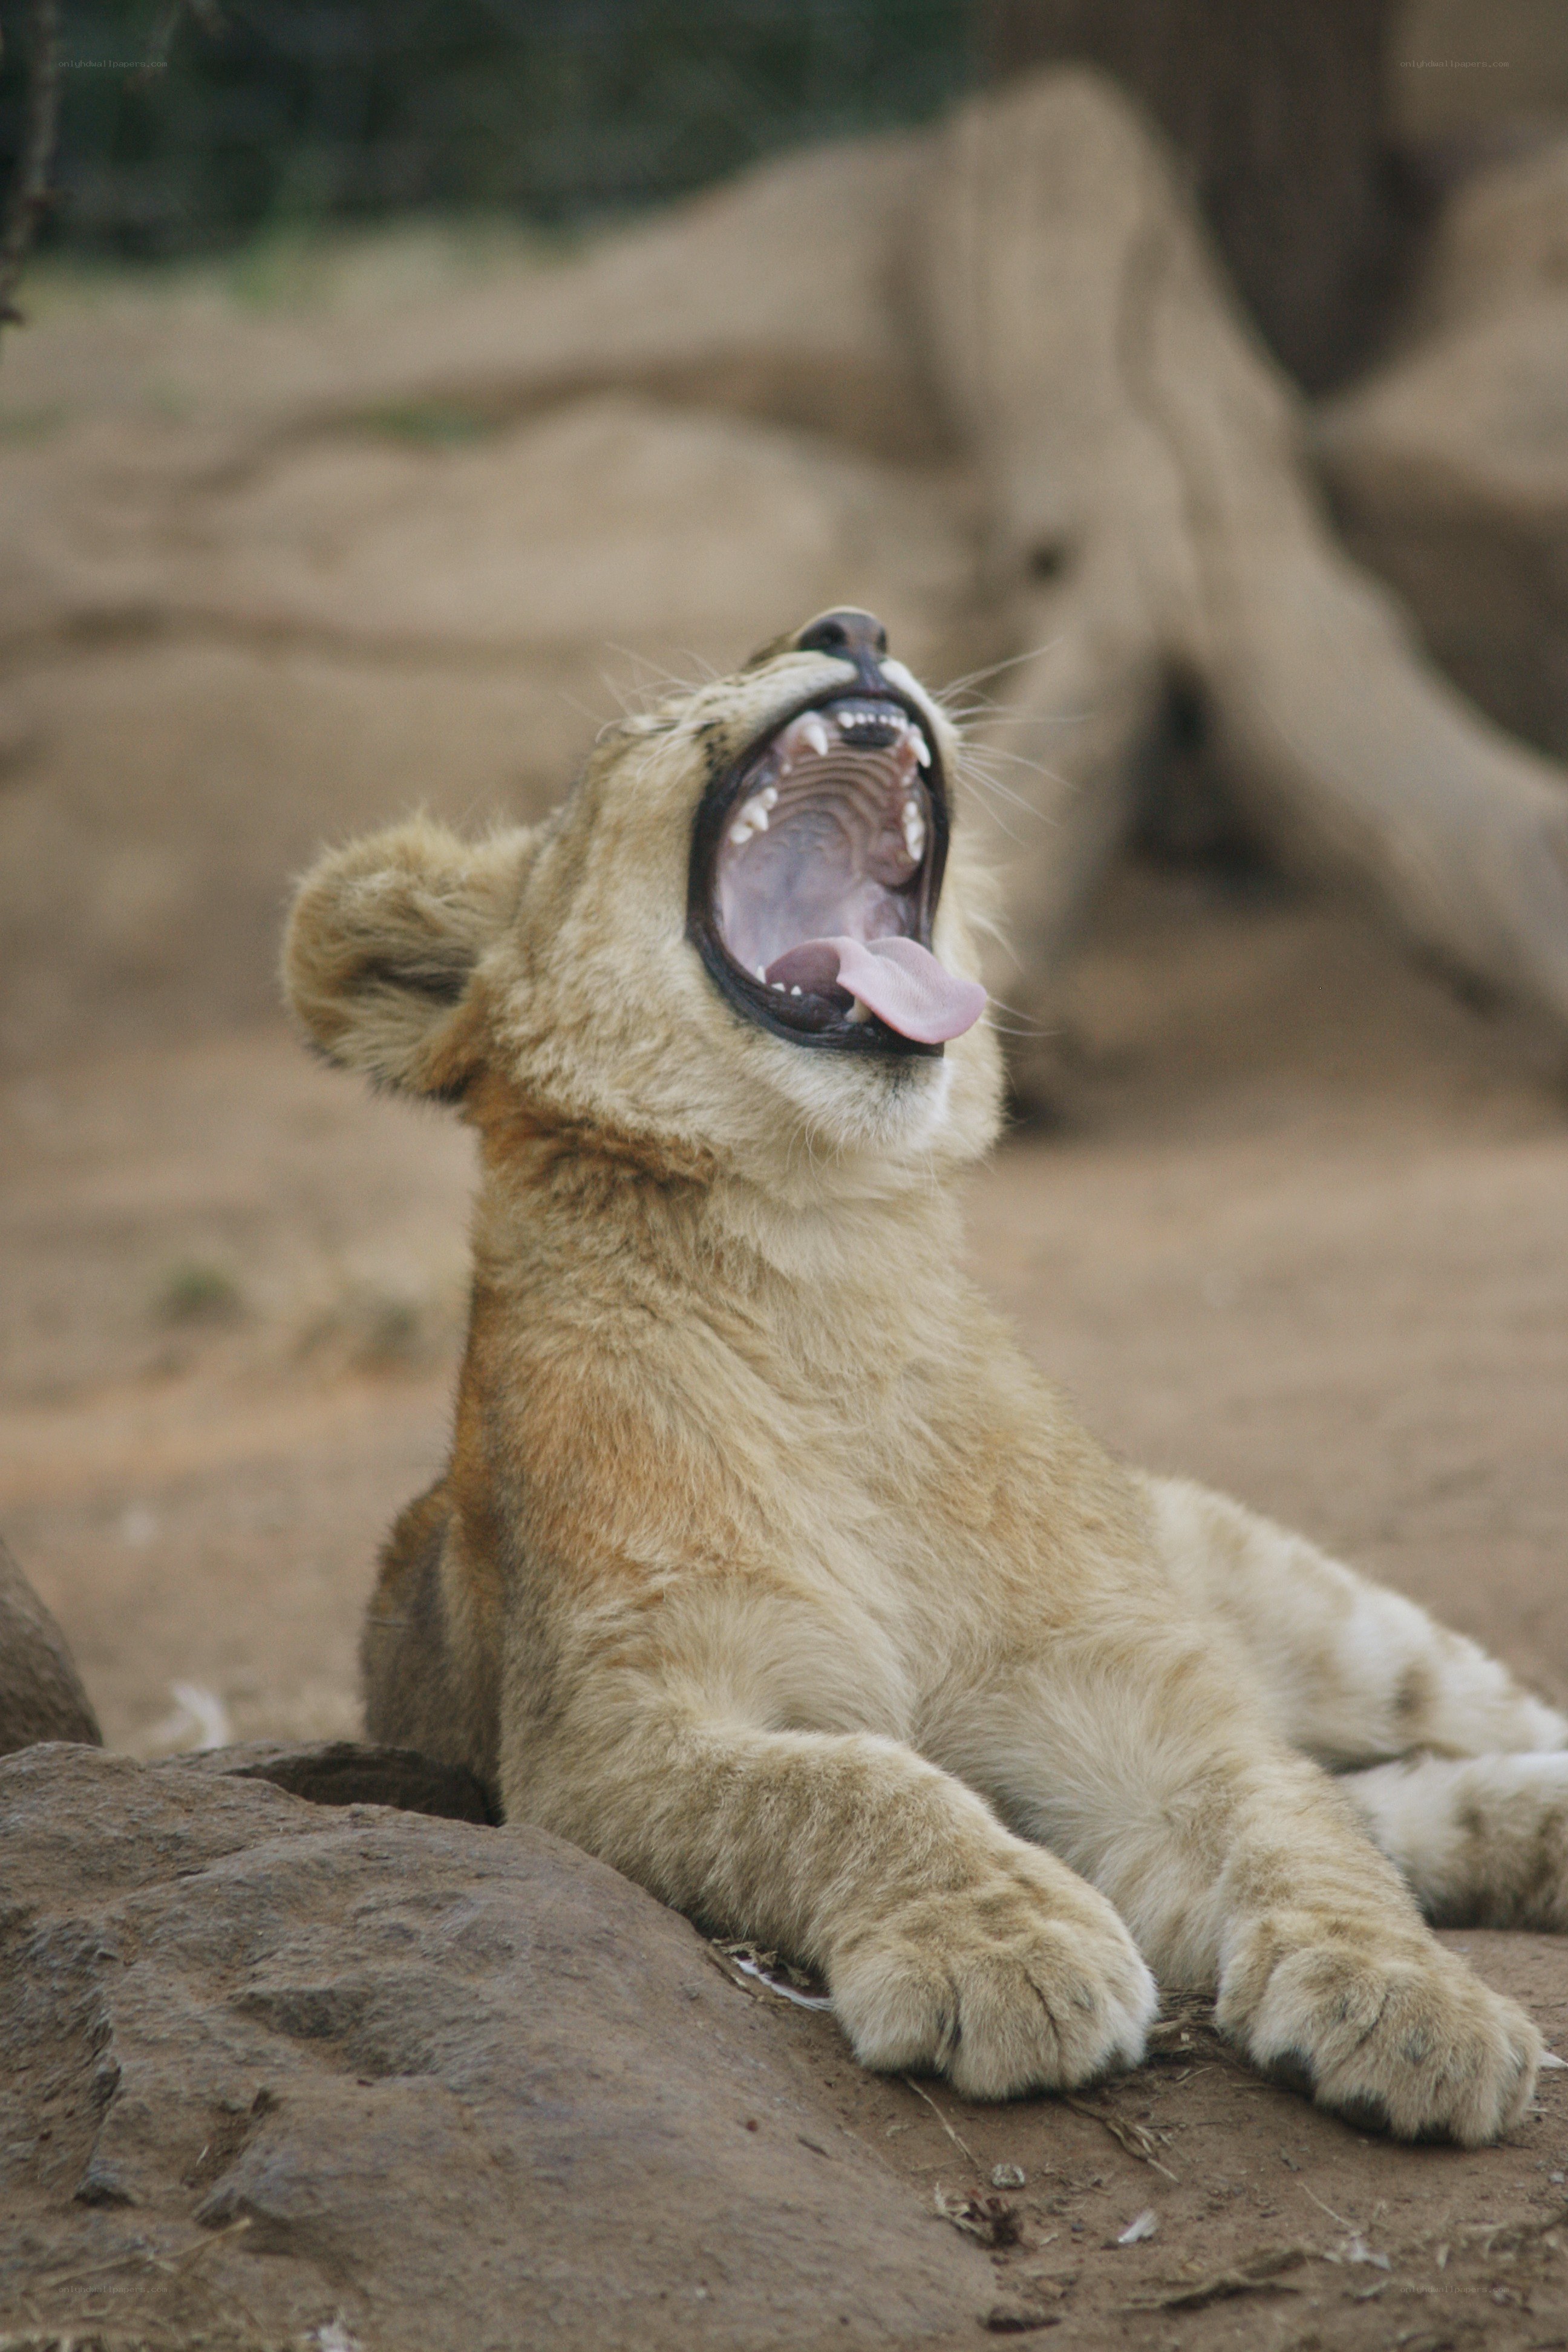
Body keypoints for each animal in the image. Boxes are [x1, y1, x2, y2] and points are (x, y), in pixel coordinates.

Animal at [284, 607, 1568, 2144]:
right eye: (650, 724)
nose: (851, 628)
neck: (830, 1270)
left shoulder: (1141, 1697)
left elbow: (1294, 1829)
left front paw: (1413, 2003)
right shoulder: (598, 1737)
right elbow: (850, 1782)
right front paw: (1002, 1955)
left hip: (1332, 1620)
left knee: (1423, 1753)